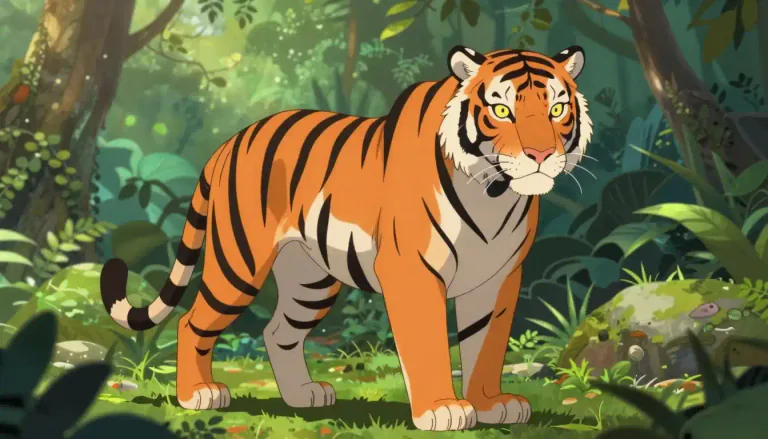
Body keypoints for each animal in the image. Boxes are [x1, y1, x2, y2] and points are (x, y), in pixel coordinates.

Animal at [100, 45, 592, 431]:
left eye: (556, 109)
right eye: (502, 110)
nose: (541, 155)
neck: (493, 193)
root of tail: (228, 143)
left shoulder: (499, 276)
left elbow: (486, 344)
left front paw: (491, 404)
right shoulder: (412, 271)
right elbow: (429, 343)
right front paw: (442, 410)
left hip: (309, 280)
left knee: (278, 331)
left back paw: (303, 395)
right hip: (240, 263)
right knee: (191, 321)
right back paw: (199, 394)